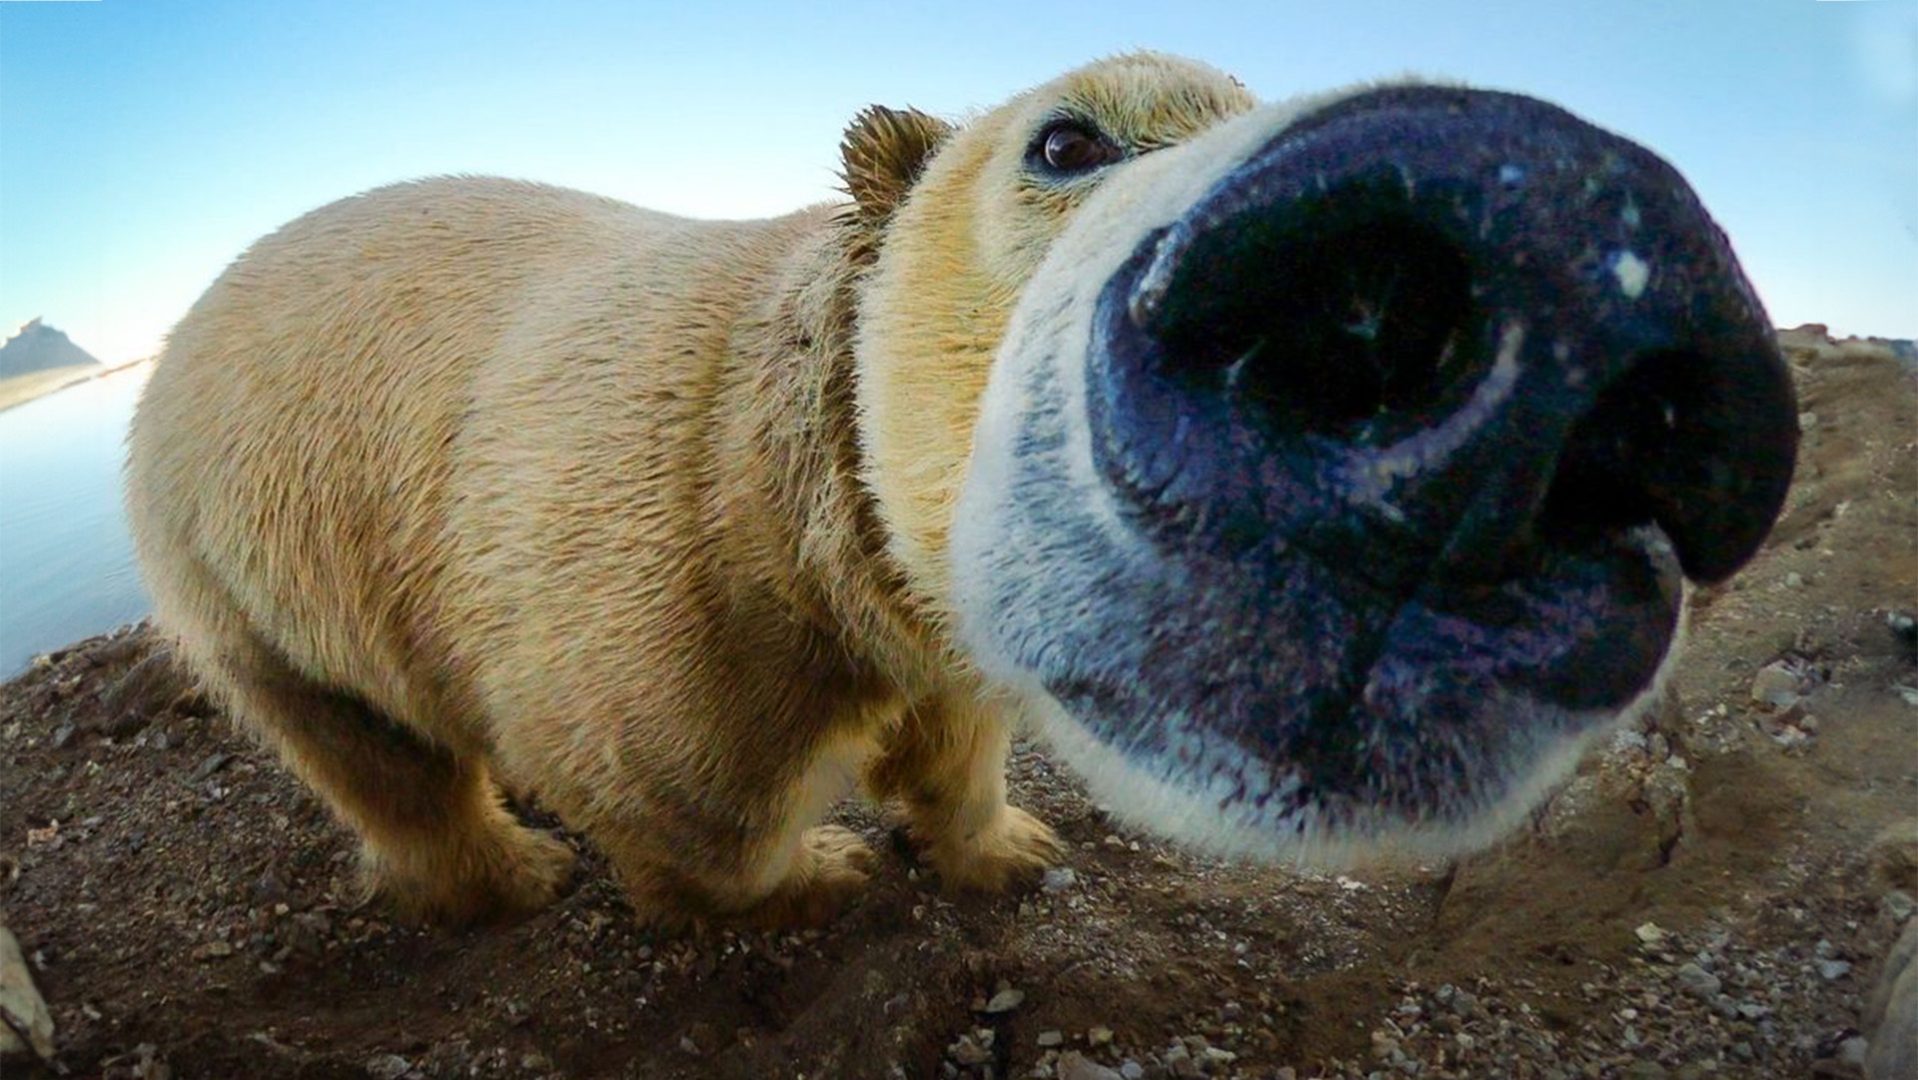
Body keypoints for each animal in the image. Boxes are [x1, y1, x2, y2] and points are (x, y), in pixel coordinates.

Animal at [125, 53, 1796, 929]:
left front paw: (1001, 842)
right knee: (371, 745)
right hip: (247, 550)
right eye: (1068, 136)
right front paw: (817, 865)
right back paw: (507, 868)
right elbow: (681, 797)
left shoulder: (918, 611)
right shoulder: (655, 601)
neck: (802, 529)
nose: (1528, 335)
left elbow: (953, 733)